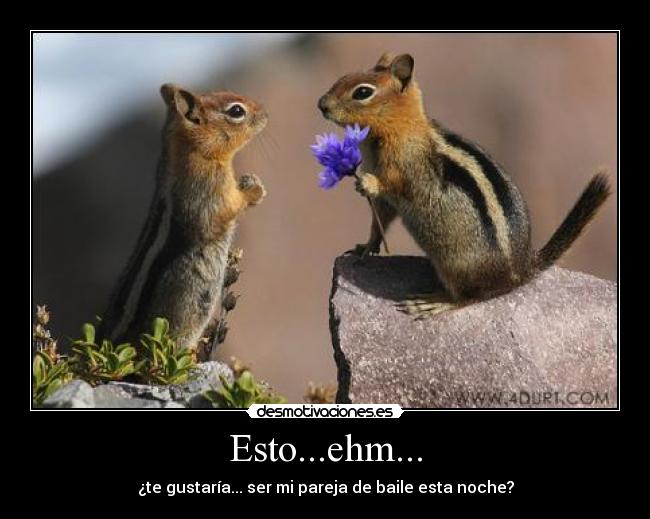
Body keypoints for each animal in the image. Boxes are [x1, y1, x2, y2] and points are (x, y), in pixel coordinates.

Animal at [100, 84, 267, 350]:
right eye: (236, 111)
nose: (265, 114)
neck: (192, 151)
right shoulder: (208, 191)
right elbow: (227, 208)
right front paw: (254, 190)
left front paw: (249, 181)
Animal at [318, 52, 611, 318]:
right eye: (344, 77)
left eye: (362, 92)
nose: (321, 104)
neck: (400, 128)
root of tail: (522, 271)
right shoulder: (386, 204)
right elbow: (379, 223)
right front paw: (365, 247)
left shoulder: (405, 169)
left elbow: (393, 185)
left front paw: (366, 183)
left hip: (456, 266)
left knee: (472, 297)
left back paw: (435, 303)